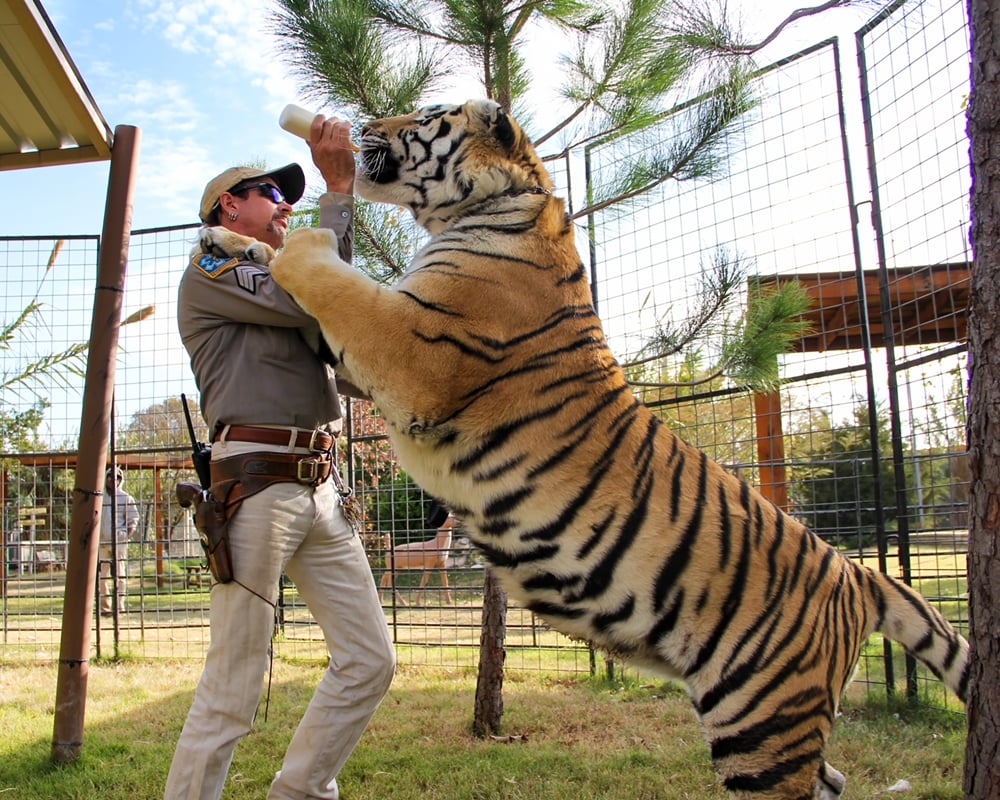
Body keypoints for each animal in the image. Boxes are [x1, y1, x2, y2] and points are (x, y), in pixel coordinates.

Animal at [260, 100, 968, 800]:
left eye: (424, 115)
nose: (362, 127)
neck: (498, 204)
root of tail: (857, 574)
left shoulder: (411, 347)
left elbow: (333, 281)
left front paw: (293, 240)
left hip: (761, 720)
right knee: (833, 778)